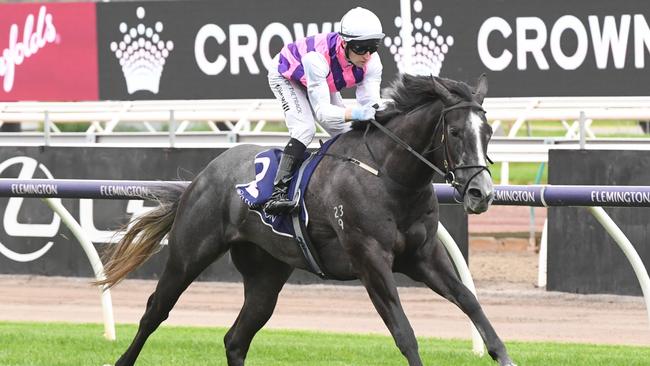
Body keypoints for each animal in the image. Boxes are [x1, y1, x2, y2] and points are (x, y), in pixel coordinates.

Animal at [100, 73, 512, 364]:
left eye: (489, 131)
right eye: (455, 132)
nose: (481, 193)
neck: (388, 175)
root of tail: (202, 176)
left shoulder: (423, 256)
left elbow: (471, 302)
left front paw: (501, 354)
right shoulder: (370, 260)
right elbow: (404, 332)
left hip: (266, 275)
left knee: (236, 339)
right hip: (189, 253)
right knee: (155, 311)